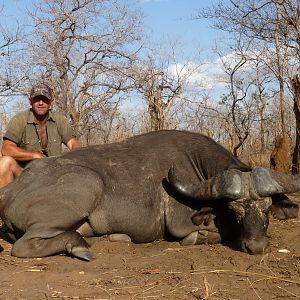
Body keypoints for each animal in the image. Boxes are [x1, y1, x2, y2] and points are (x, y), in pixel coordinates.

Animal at [0, 131, 298, 260]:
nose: (256, 246)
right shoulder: (180, 224)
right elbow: (200, 234)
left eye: (267, 208)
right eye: (235, 209)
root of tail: (11, 192)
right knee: (23, 246)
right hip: (87, 183)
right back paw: (79, 246)